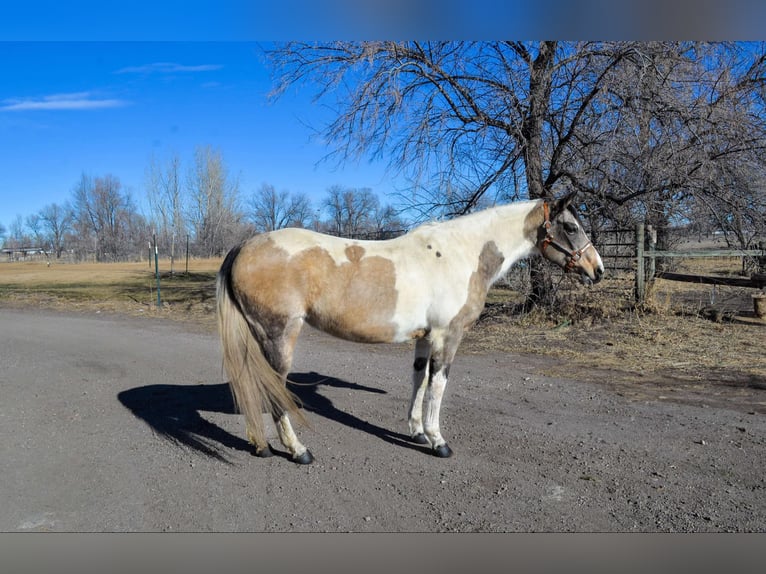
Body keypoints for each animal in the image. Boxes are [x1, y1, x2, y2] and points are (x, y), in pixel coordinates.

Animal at [216, 193, 604, 464]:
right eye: (571, 227)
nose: (597, 269)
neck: (461, 254)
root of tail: (245, 245)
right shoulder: (448, 335)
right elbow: (438, 385)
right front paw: (438, 441)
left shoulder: (425, 337)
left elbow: (419, 381)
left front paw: (417, 432)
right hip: (280, 334)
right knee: (274, 389)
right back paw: (298, 451)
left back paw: (260, 446)